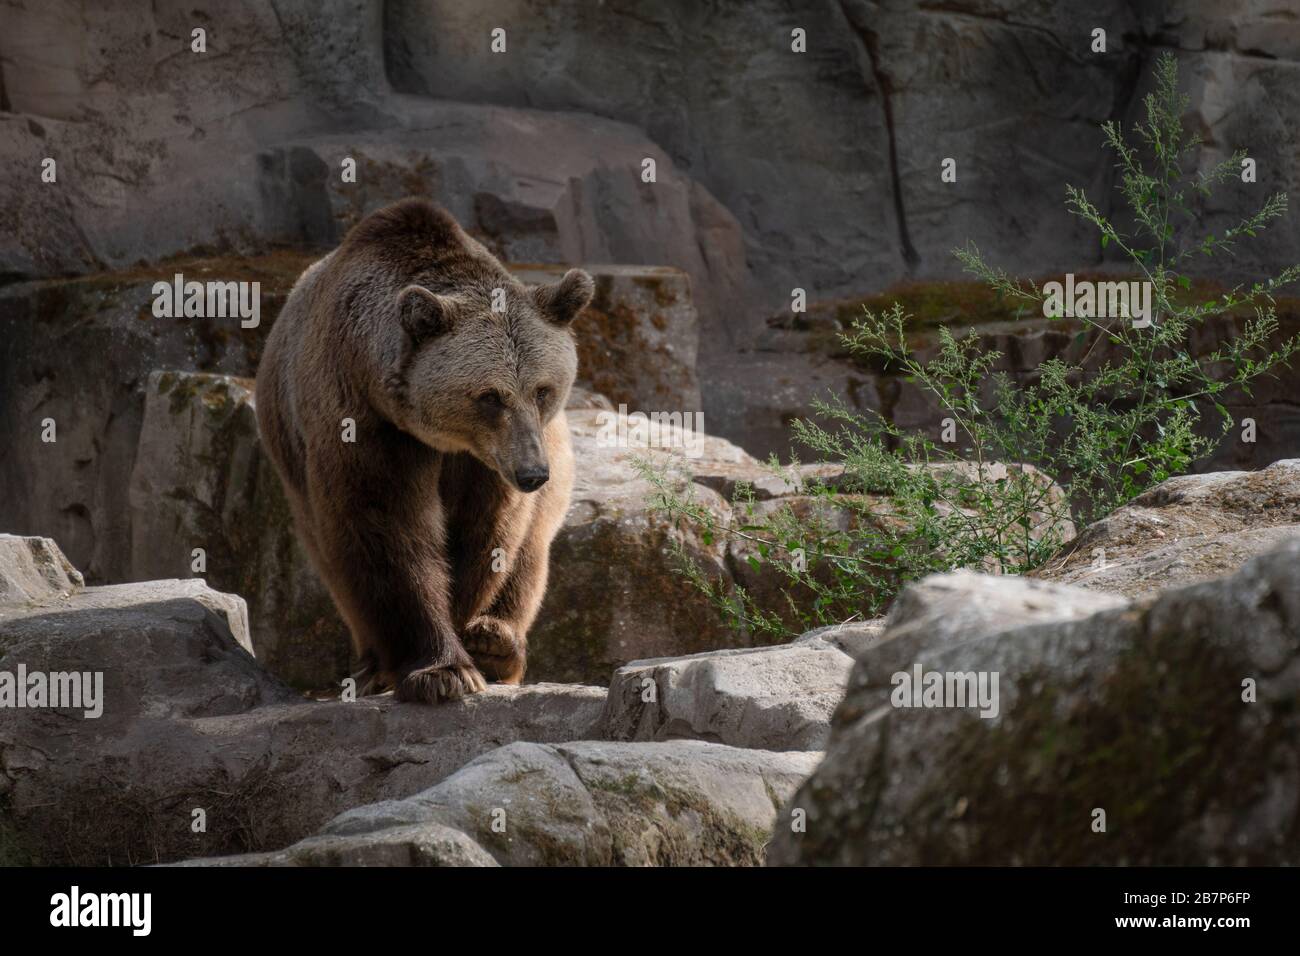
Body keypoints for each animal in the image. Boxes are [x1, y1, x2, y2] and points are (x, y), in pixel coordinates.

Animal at [256, 197, 592, 702]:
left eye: (543, 390)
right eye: (490, 396)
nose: (532, 473)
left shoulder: (486, 464)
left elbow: (484, 536)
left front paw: (466, 646)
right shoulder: (363, 420)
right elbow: (386, 527)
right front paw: (442, 670)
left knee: (531, 552)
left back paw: (496, 641)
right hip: (291, 462)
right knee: (331, 558)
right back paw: (373, 665)